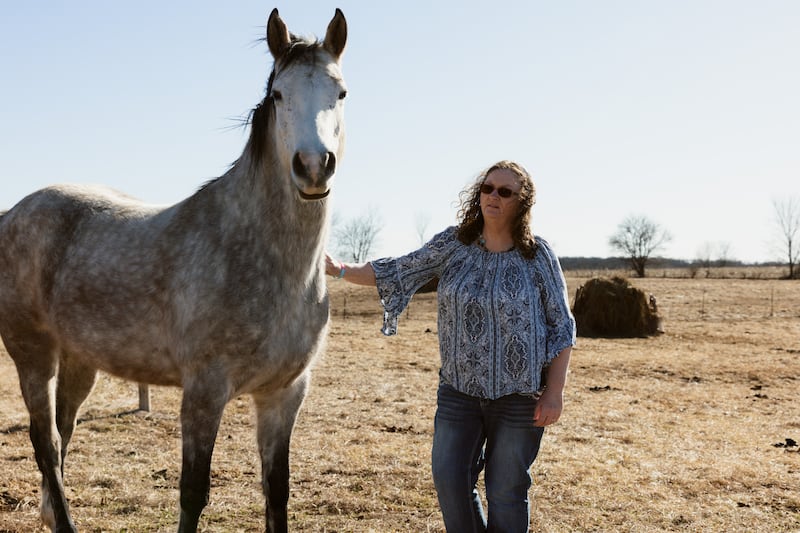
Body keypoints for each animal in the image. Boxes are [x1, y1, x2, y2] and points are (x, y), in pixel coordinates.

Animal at [0, 8, 346, 532]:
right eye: (278, 95)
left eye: (340, 92)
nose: (312, 167)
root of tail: (13, 213)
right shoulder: (203, 392)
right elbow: (193, 492)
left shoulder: (283, 395)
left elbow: (277, 492)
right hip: (32, 355)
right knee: (45, 443)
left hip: (80, 359)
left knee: (62, 434)